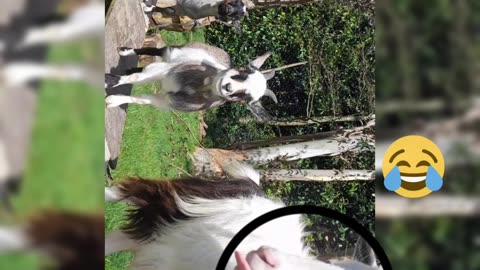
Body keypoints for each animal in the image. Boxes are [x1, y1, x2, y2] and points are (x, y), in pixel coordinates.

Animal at [105, 42, 278, 121]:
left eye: (245, 99)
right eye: (243, 71)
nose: (227, 87)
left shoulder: (166, 101)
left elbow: (143, 100)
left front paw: (113, 101)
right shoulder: (165, 71)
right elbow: (136, 78)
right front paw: (109, 81)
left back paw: (129, 68)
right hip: (175, 52)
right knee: (154, 51)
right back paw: (125, 51)